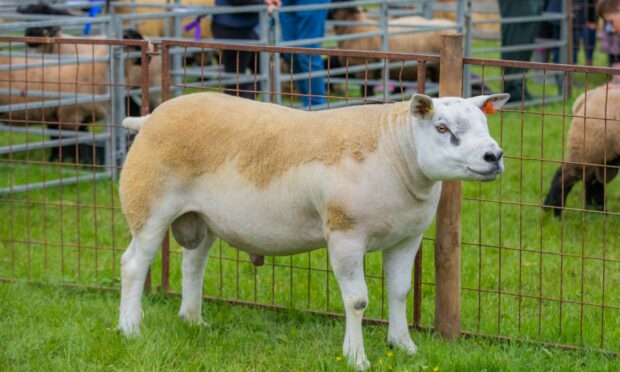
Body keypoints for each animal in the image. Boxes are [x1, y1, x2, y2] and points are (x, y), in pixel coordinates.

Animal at [116, 91, 508, 370]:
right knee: (134, 264)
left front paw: (404, 346)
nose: (494, 156)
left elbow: (399, 292)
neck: (397, 153)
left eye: (484, 124)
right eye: (442, 128)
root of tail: (149, 117)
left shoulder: (406, 238)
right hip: (147, 203)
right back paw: (130, 328)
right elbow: (358, 300)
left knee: (193, 264)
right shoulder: (345, 234)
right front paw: (357, 358)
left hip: (202, 216)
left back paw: (193, 321)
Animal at [544, 84, 620, 217]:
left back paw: (597, 211)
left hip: (600, 154)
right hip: (588, 147)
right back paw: (555, 213)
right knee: (563, 177)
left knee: (592, 182)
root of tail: (589, 95)